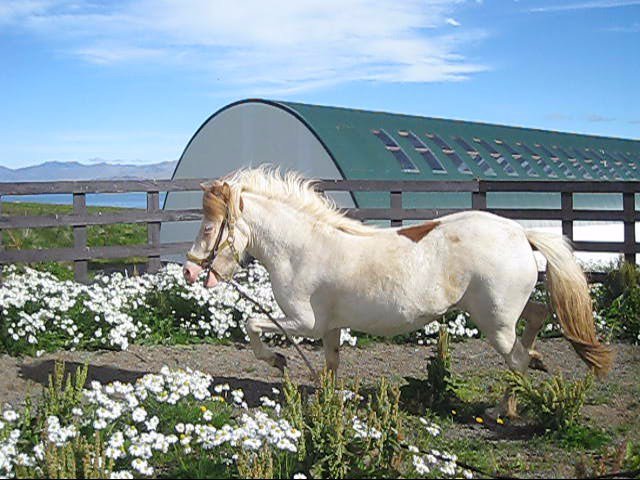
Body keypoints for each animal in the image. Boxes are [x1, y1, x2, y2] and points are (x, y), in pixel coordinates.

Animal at [182, 167, 612, 414]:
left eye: (208, 227)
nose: (189, 270)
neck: (301, 248)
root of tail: (521, 232)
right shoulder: (329, 327)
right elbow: (330, 365)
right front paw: (326, 402)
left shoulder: (303, 322)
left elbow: (252, 324)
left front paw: (277, 360)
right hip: (502, 312)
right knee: (537, 318)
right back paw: (525, 378)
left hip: (495, 321)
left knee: (517, 358)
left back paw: (503, 408)